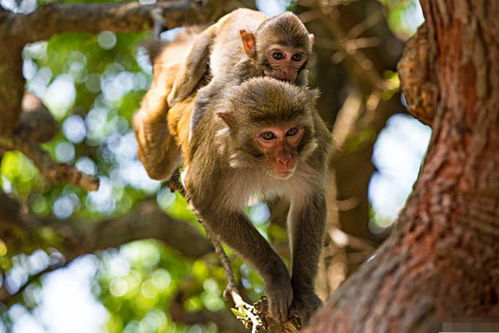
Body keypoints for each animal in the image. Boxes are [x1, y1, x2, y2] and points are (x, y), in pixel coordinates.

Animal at [169, 8, 316, 130]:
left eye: (296, 57)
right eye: (278, 56)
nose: (287, 71)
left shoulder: (300, 78)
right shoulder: (237, 74)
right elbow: (205, 99)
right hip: (207, 35)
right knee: (178, 93)